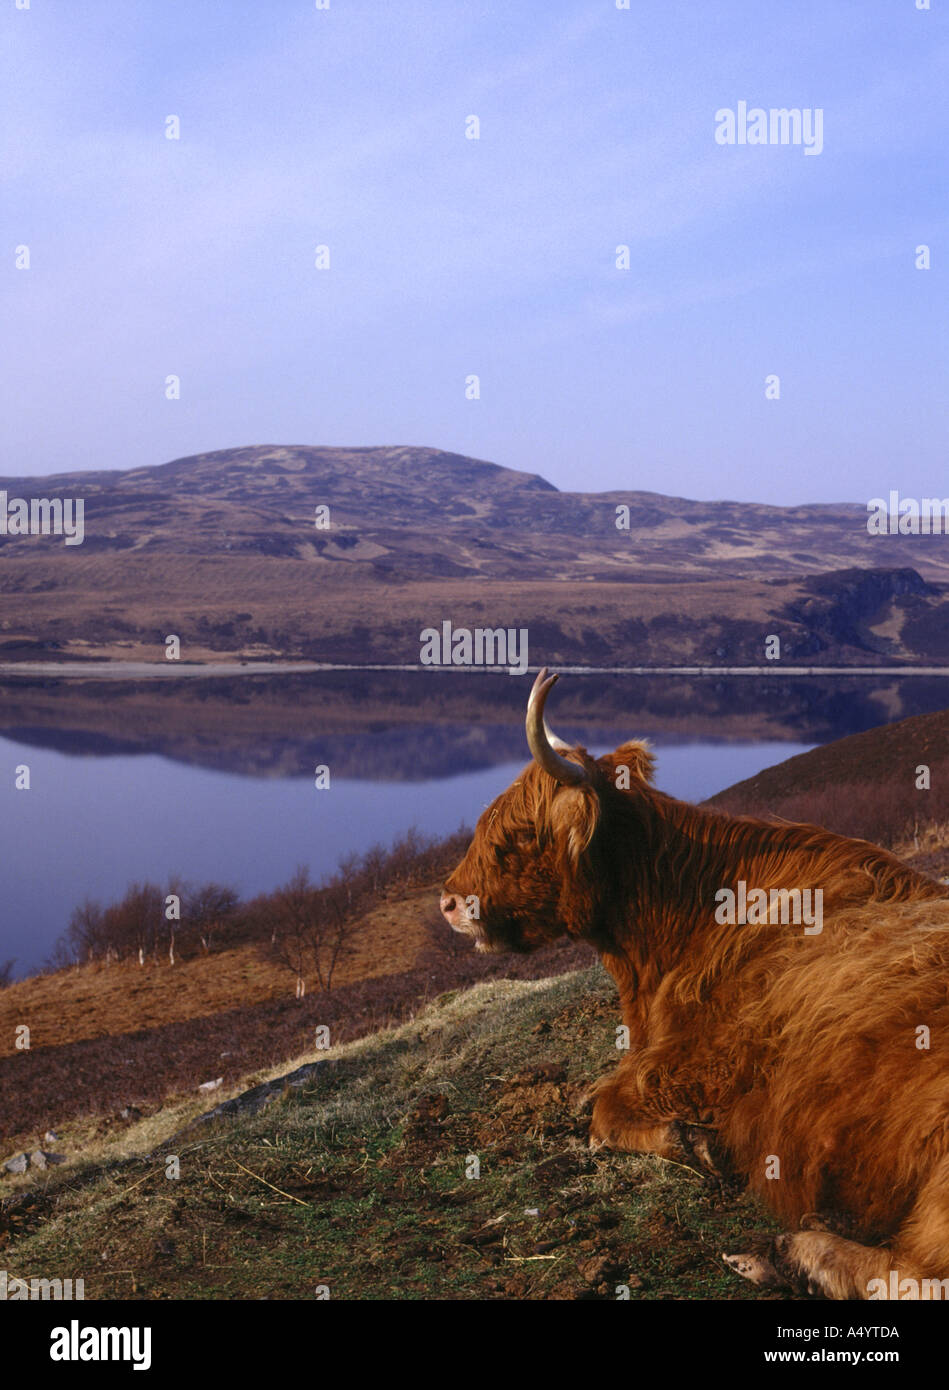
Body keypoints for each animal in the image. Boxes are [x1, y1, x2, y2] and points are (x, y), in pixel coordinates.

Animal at [440, 668, 949, 1300]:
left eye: (522, 834)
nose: (449, 902)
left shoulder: (701, 1059)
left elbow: (605, 1113)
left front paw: (696, 1143)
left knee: (923, 1272)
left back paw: (791, 1253)